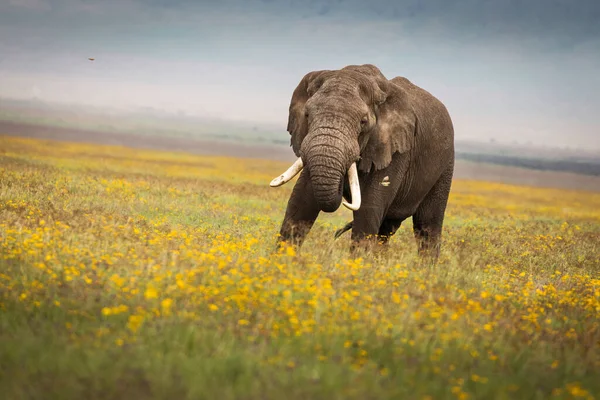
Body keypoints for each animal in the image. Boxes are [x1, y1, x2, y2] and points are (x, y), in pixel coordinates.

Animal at [270, 62, 452, 256]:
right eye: (306, 115)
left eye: (363, 122)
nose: (342, 193)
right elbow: (301, 200)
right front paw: (283, 259)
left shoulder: (395, 149)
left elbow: (368, 210)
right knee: (386, 230)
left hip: (446, 165)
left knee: (427, 226)